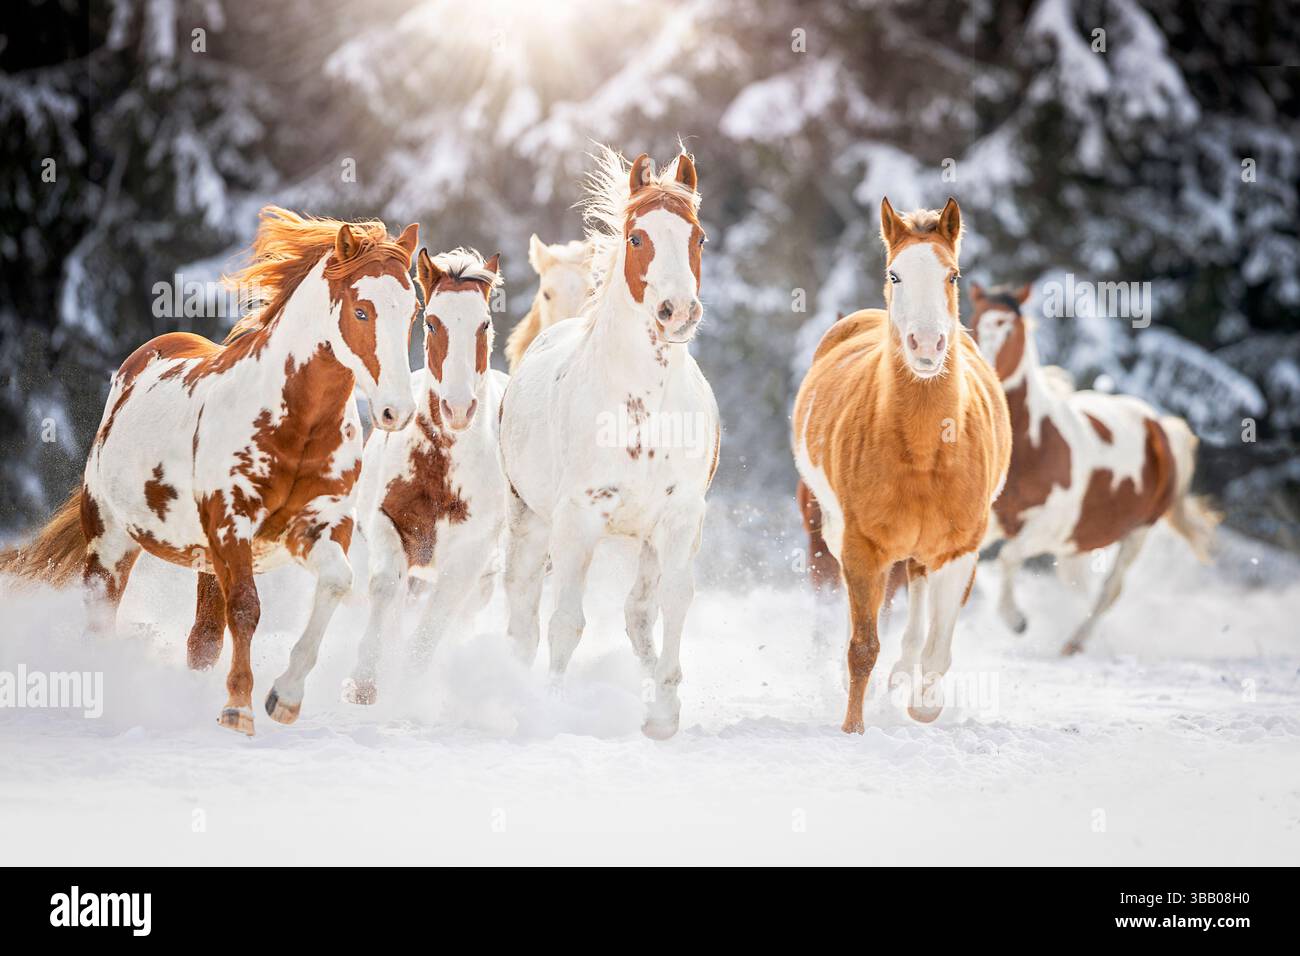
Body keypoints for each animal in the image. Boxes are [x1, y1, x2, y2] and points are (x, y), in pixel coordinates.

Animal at [0, 206, 420, 736]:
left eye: (413, 312)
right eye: (362, 311)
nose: (396, 411)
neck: (296, 424)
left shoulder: (319, 526)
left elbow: (335, 584)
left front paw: (284, 697)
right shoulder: (231, 526)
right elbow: (246, 609)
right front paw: (239, 708)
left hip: (202, 560)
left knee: (201, 638)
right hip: (111, 543)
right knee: (101, 620)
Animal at [341, 248, 508, 705]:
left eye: (484, 323)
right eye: (432, 321)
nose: (457, 408)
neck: (440, 470)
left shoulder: (469, 554)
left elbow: (439, 617)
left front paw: (409, 685)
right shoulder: (388, 523)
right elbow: (385, 588)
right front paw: (364, 680)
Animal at [793, 198, 1011, 731]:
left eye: (953, 275)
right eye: (895, 274)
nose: (927, 345)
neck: (926, 451)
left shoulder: (961, 550)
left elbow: (936, 649)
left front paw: (922, 704)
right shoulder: (859, 547)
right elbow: (861, 647)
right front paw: (853, 728)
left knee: (915, 599)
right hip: (827, 534)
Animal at [968, 282, 1217, 655]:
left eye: (1007, 326)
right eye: (972, 323)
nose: (982, 371)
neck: (1037, 445)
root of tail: (1158, 425)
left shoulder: (1047, 529)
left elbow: (1008, 557)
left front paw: (1017, 621)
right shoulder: (994, 522)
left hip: (1135, 534)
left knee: (1109, 590)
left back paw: (1075, 644)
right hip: (1080, 542)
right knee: (1080, 586)